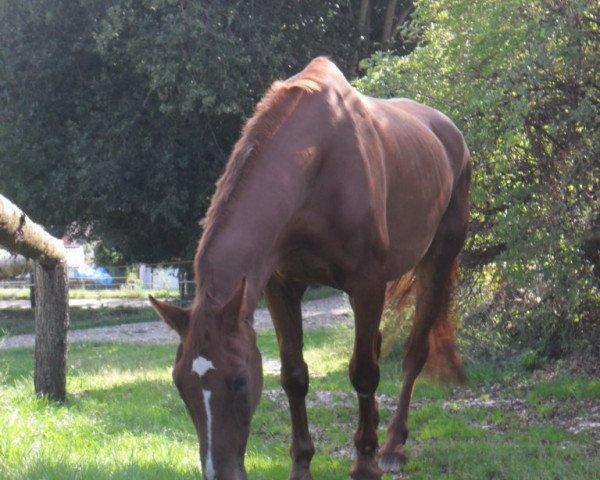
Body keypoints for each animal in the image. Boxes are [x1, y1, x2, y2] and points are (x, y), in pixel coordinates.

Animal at [149, 57, 468, 480]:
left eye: (240, 381)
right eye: (178, 383)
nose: (221, 474)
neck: (318, 161)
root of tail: (450, 134)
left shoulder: (366, 284)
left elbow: (363, 373)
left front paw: (364, 464)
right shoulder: (281, 287)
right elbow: (294, 376)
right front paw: (301, 465)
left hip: (436, 262)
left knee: (413, 353)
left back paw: (391, 447)